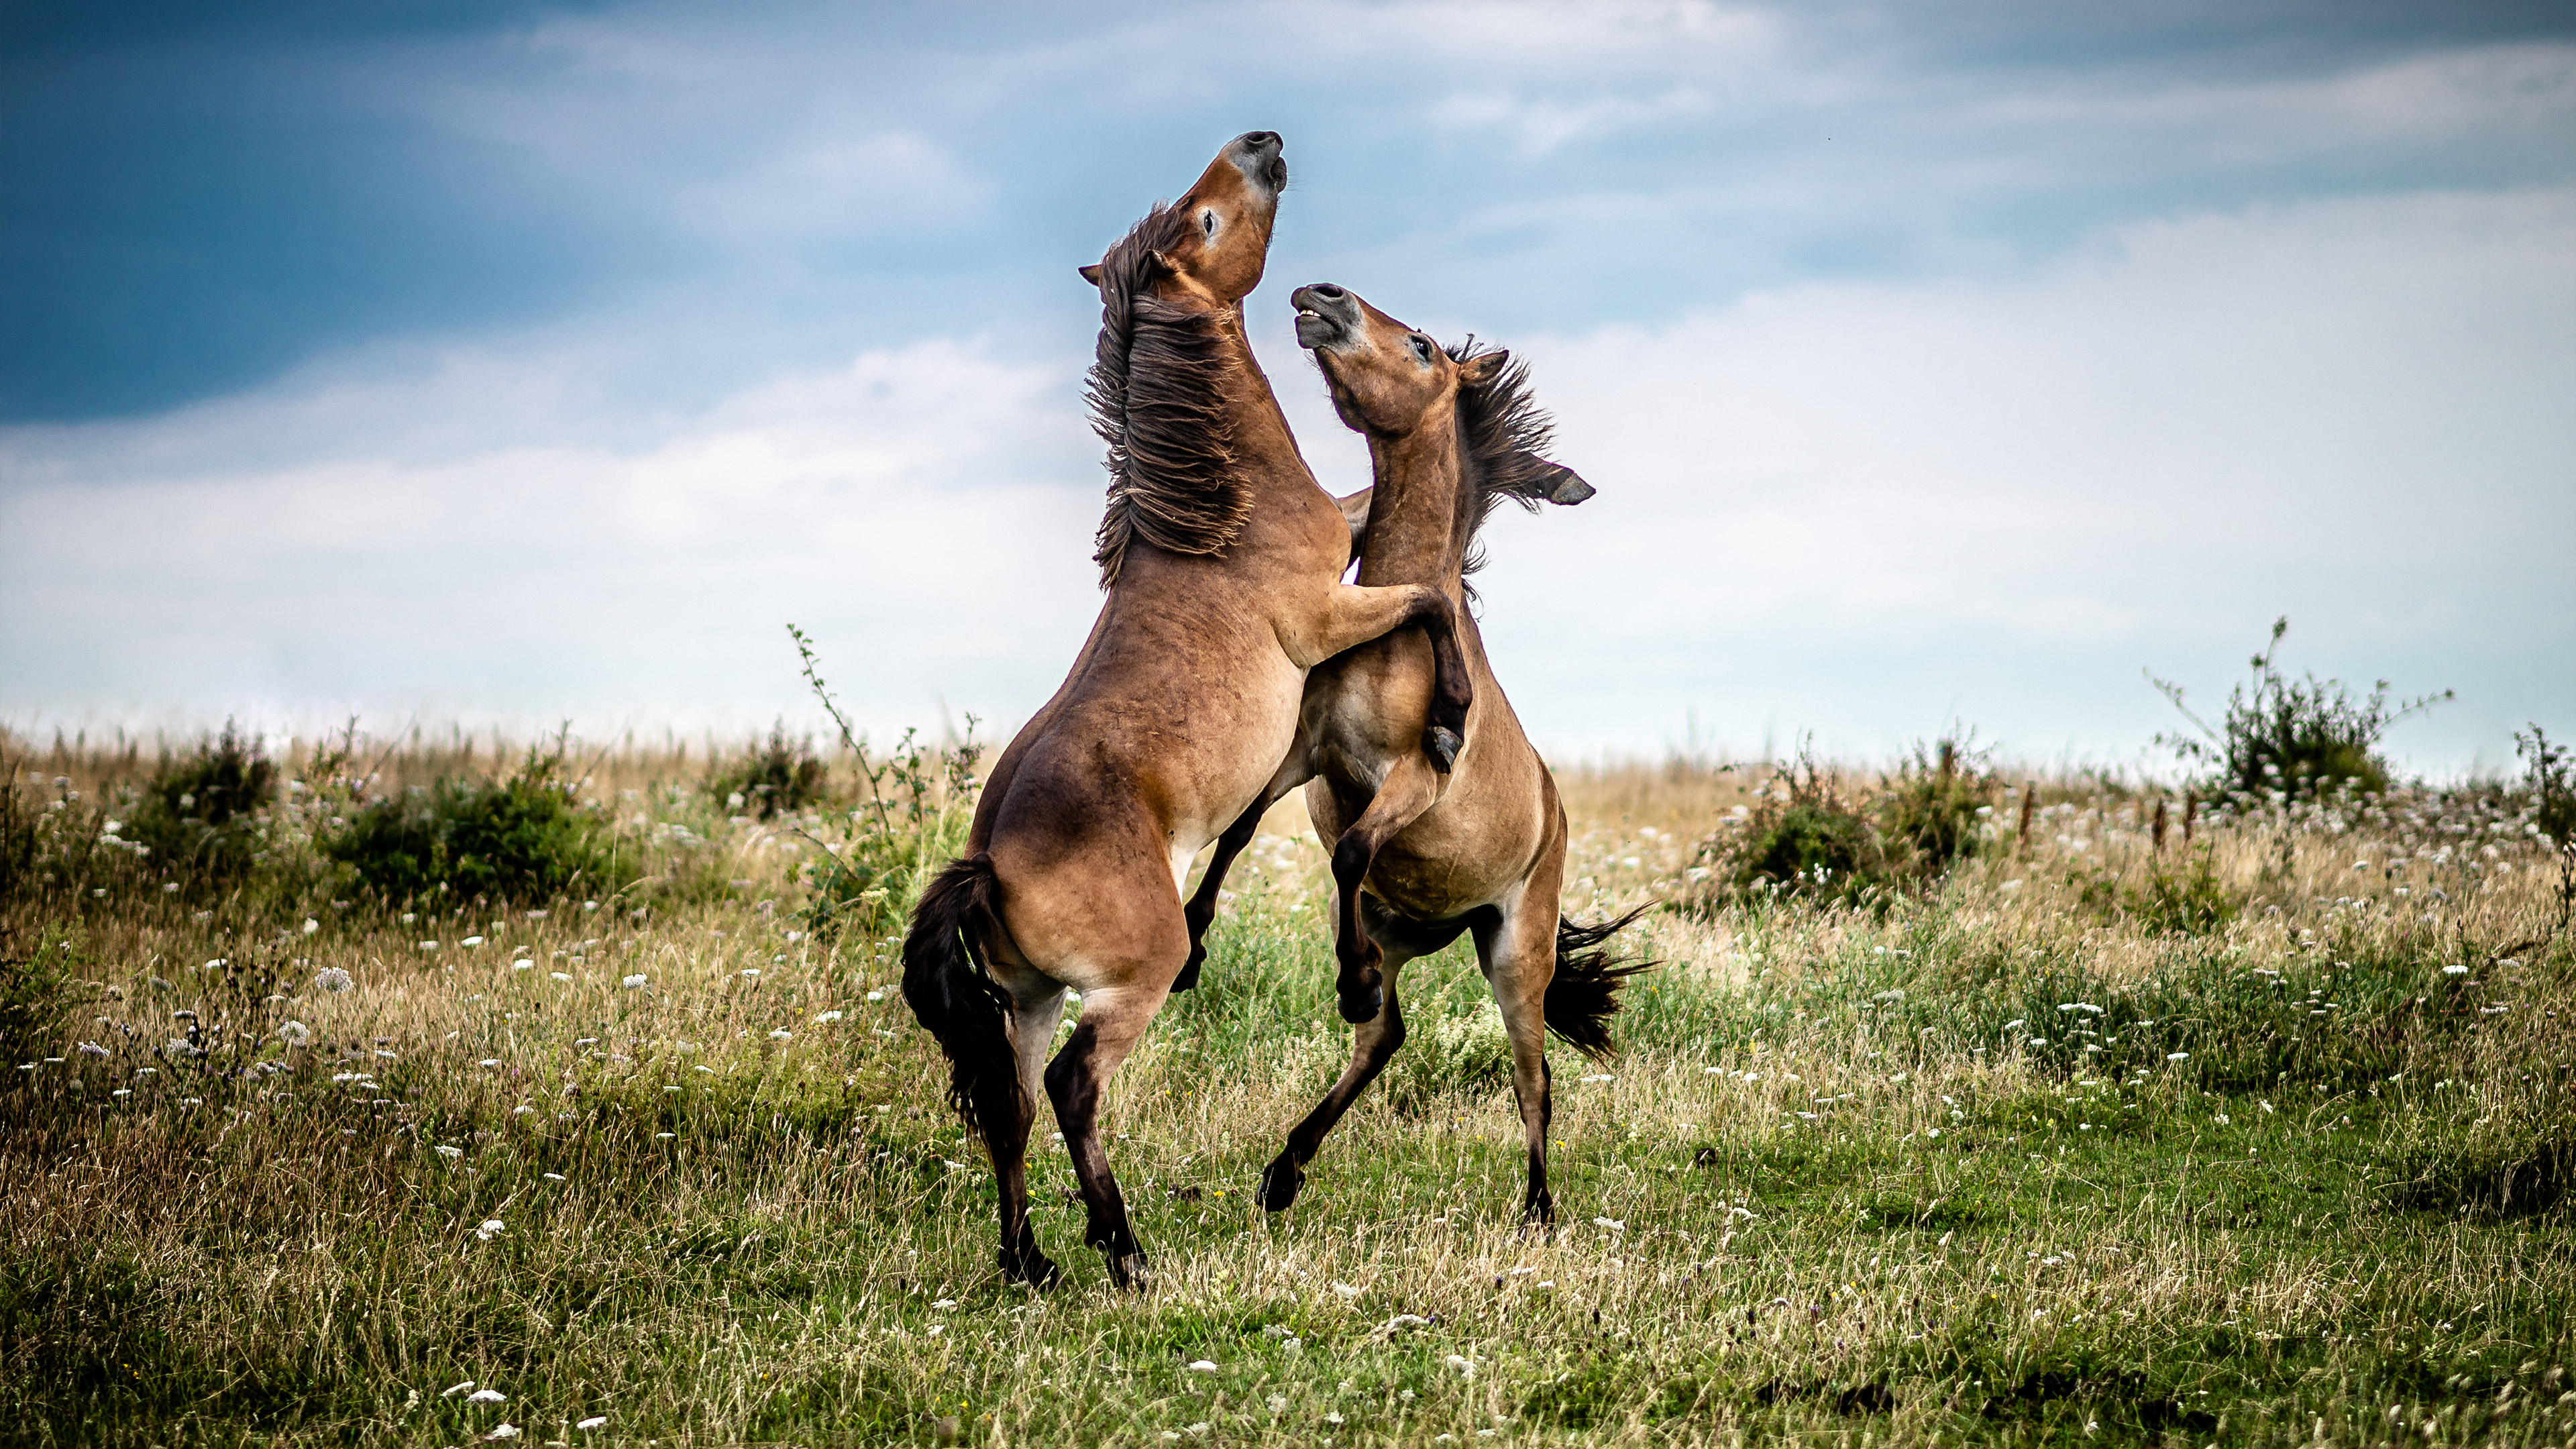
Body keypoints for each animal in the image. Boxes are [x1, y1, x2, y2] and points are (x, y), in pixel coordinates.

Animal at [902, 133, 1478, 1291]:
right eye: (1207, 221)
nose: (1265, 142)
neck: (1222, 517)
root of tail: (988, 862)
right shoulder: (1325, 609)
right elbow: (1429, 597)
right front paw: (1447, 715)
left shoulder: (1342, 542)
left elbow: (1383, 521)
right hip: (1126, 987)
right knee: (1074, 1087)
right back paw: (1123, 1252)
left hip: (1027, 1000)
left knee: (1011, 1103)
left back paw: (1031, 1261)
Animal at [1181, 280, 1647, 1226]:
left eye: (1424, 346)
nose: (1320, 295)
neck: (1393, 640)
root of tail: (1556, 818)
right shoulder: (1309, 754)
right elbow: (1241, 831)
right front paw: (1192, 944)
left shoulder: (1411, 779)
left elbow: (1353, 843)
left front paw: (1337, 977)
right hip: (1398, 924)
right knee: (1387, 1034)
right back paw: (1286, 1167)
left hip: (1514, 954)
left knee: (1533, 1078)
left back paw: (1538, 1210)